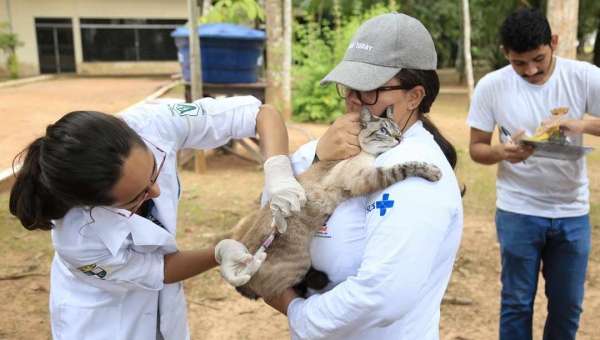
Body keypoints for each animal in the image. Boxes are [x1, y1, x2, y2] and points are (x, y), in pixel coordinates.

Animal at [237, 105, 442, 298]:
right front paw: (433, 171)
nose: (399, 138)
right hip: (301, 264)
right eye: (383, 131)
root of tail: (240, 278)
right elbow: (402, 167)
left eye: (398, 129)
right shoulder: (365, 178)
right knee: (282, 291)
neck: (366, 155)